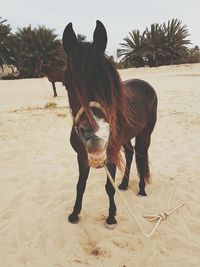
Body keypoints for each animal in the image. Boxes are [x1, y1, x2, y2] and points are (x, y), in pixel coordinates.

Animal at [61, 21, 157, 229]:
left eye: (108, 83)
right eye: (66, 84)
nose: (95, 138)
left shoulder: (110, 156)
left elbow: (108, 188)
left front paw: (111, 217)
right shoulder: (82, 157)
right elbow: (80, 186)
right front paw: (75, 213)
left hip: (145, 134)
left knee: (141, 156)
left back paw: (141, 189)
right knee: (130, 153)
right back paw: (124, 183)